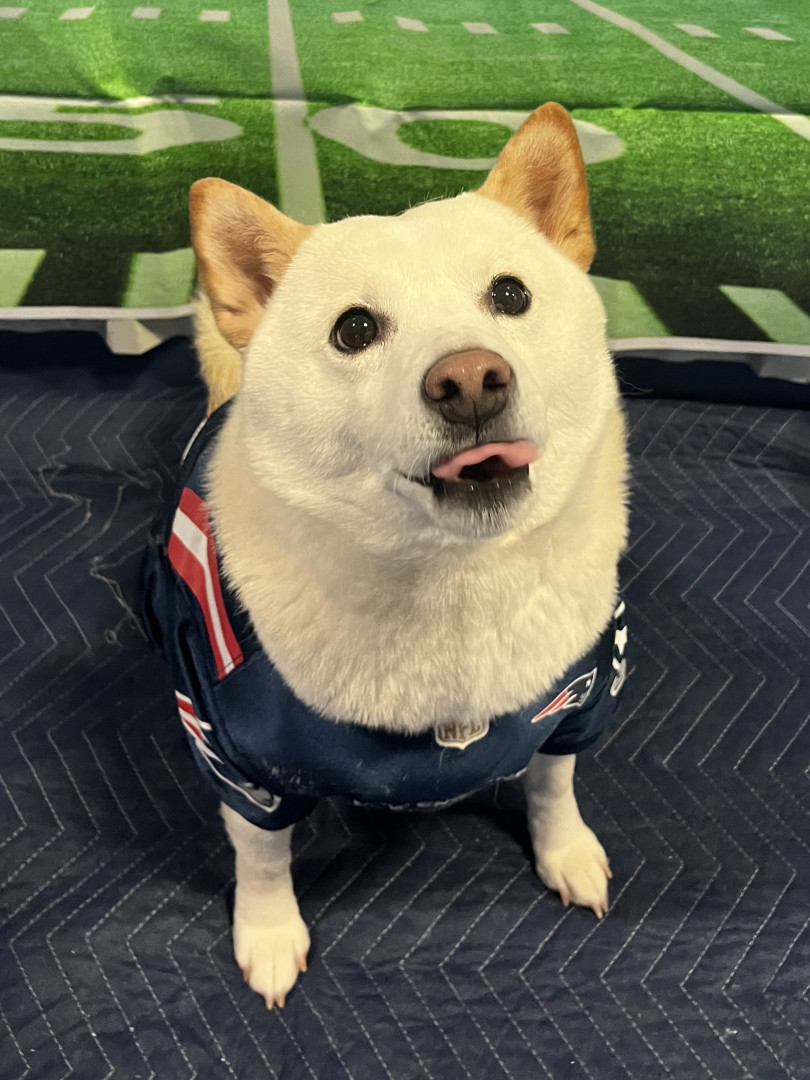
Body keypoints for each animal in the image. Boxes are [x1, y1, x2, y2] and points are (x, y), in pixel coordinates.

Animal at [143, 102, 628, 1009]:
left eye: (511, 294)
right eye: (355, 329)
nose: (470, 379)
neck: (452, 590)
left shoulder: (580, 700)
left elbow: (553, 785)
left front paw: (566, 852)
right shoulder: (240, 763)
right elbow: (262, 859)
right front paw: (269, 934)